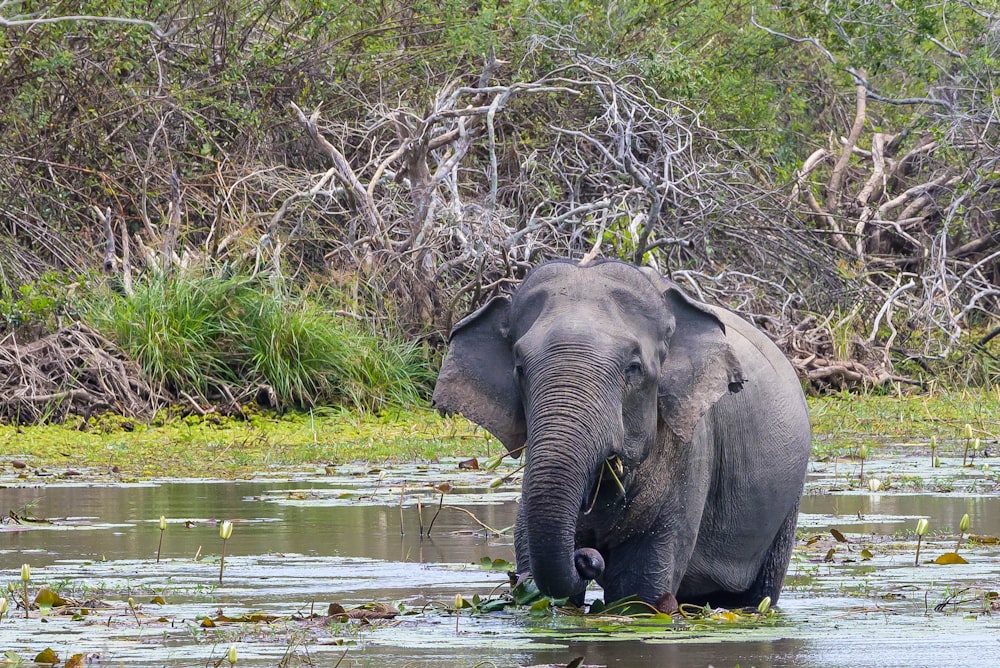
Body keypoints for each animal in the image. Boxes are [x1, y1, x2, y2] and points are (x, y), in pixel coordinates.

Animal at [432, 260, 812, 612]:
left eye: (633, 368)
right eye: (519, 368)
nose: (586, 557)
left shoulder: (692, 447)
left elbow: (639, 591)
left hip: (787, 503)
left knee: (756, 593)